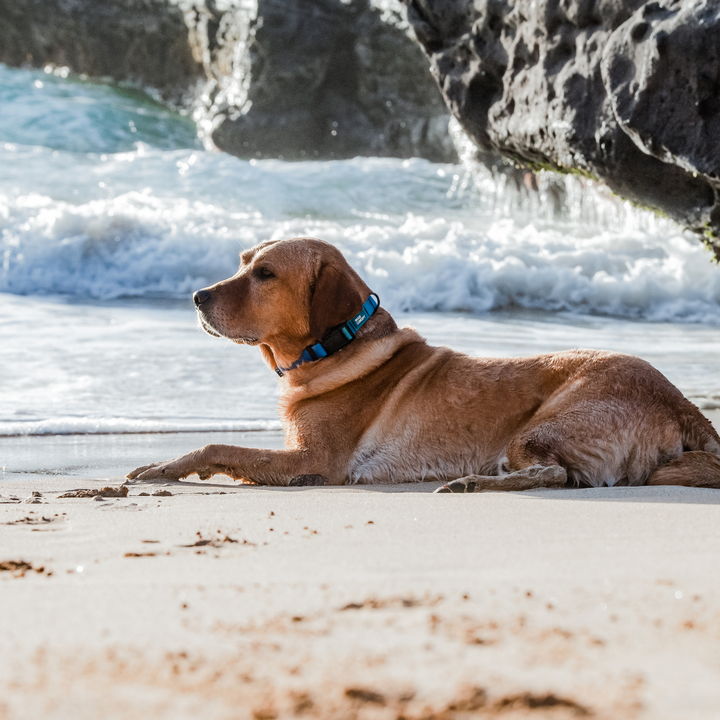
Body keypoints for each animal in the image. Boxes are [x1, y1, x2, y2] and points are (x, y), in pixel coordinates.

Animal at [126, 235, 720, 490]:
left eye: (265, 274)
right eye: (242, 263)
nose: (197, 296)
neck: (337, 345)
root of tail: (680, 400)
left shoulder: (316, 459)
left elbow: (218, 445)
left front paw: (164, 466)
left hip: (540, 428)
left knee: (553, 474)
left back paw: (473, 484)